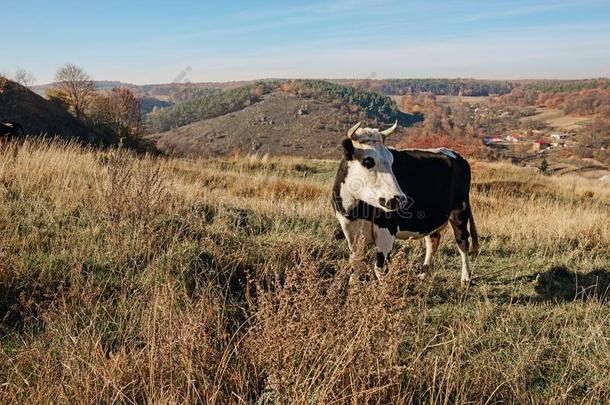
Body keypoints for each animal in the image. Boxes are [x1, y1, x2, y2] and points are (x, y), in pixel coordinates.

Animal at [330, 121, 478, 282]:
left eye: (391, 160)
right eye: (368, 161)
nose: (398, 199)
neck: (355, 210)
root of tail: (456, 155)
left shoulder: (387, 232)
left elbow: (380, 269)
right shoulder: (350, 231)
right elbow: (355, 264)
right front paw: (353, 285)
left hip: (460, 210)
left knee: (463, 241)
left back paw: (465, 278)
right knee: (433, 241)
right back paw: (424, 274)